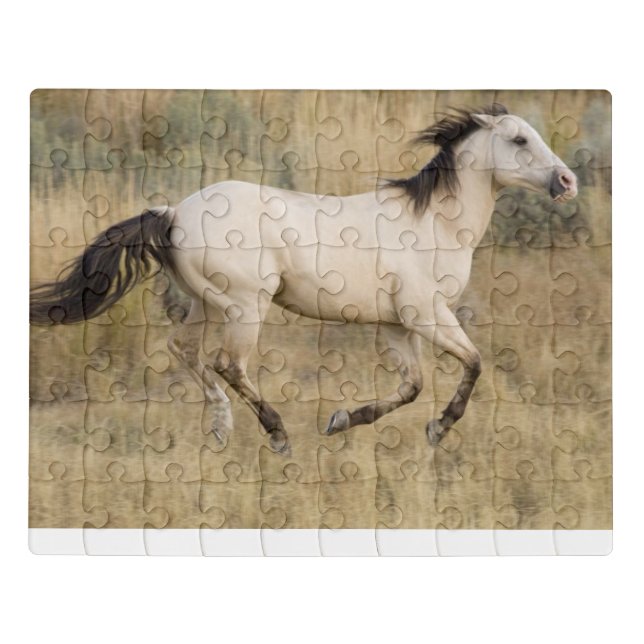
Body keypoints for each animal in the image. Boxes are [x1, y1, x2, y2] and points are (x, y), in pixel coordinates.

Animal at [30, 104, 578, 455]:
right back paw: (277, 435)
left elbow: (412, 386)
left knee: (185, 350)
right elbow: (474, 363)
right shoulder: (426, 315)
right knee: (227, 363)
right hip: (245, 306)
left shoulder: (398, 324)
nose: (567, 181)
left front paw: (342, 421)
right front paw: (438, 430)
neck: (435, 224)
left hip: (206, 303)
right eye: (519, 139)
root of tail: (172, 213)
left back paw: (221, 429)